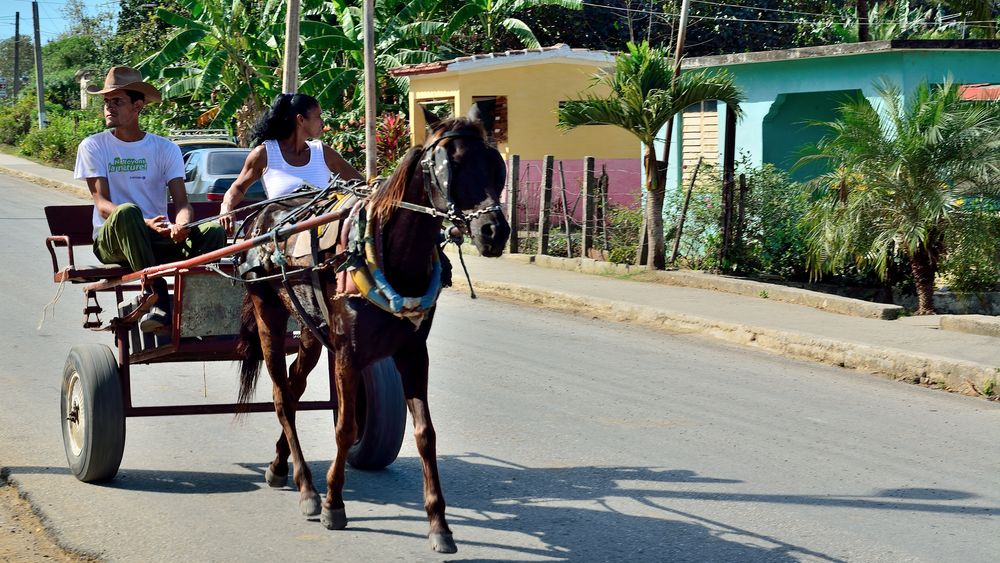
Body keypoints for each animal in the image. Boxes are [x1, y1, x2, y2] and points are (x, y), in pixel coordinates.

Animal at [235, 107, 512, 556]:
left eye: (496, 165)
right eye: (449, 164)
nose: (494, 231)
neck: (389, 252)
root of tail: (256, 218)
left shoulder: (414, 352)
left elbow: (425, 434)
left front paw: (439, 524)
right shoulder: (348, 352)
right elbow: (346, 427)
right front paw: (334, 502)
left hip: (311, 329)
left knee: (293, 388)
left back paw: (280, 466)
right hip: (268, 314)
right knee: (280, 397)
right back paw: (307, 489)